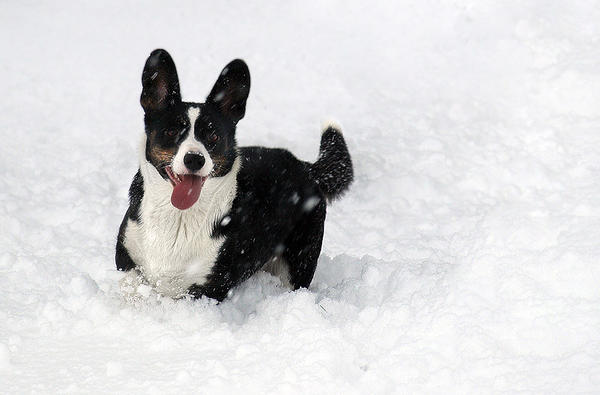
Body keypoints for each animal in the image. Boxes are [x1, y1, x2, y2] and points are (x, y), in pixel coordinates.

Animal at [115, 50, 354, 304]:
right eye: (171, 132)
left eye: (213, 136)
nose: (194, 159)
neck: (178, 218)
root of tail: (306, 167)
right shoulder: (127, 262)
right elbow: (131, 288)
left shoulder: (210, 289)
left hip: (299, 261)